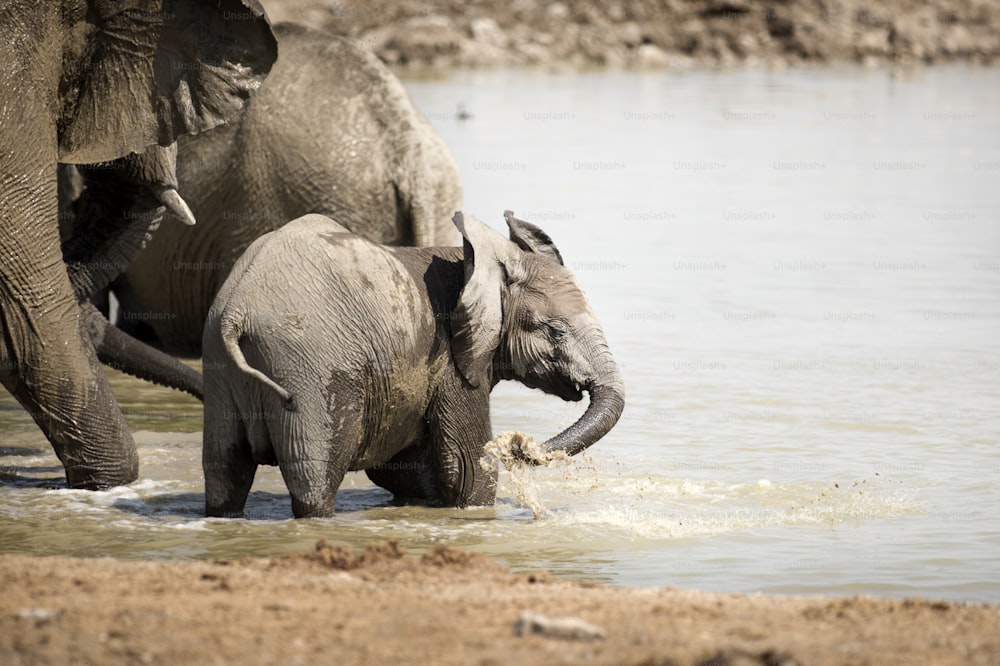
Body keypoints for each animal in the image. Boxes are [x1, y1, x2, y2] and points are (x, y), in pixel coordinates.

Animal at [201, 210, 624, 516]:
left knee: (225, 473)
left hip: (220, 370)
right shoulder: (452, 364)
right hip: (309, 373)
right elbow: (469, 468)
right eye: (554, 331)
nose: (520, 445)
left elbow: (407, 468)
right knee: (314, 483)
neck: (469, 265)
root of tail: (237, 310)